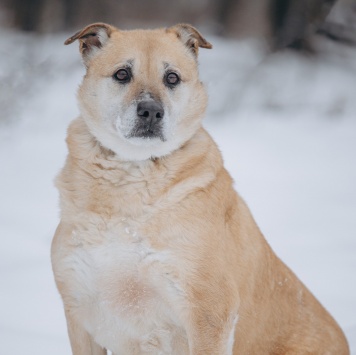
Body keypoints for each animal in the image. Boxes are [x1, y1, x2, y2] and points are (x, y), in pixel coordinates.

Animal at [51, 23, 350, 355]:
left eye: (172, 78)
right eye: (122, 74)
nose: (151, 112)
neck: (132, 175)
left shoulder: (208, 312)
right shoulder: (80, 313)